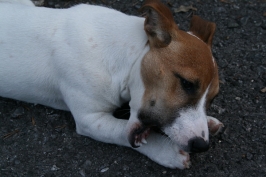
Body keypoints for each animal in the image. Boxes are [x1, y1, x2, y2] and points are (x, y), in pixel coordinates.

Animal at [0, 0, 223, 169]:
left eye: (213, 99)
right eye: (186, 83)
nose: (202, 146)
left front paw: (209, 121)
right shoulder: (91, 120)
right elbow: (122, 132)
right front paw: (166, 151)